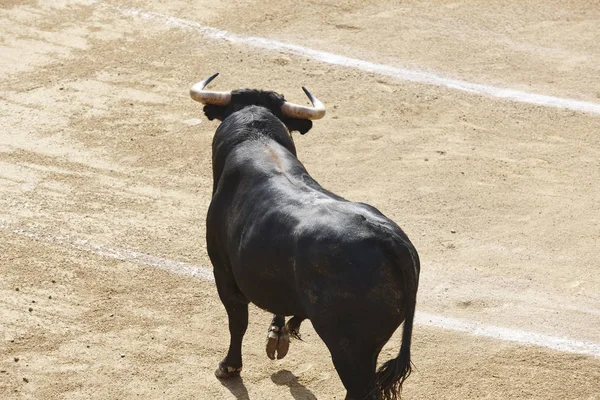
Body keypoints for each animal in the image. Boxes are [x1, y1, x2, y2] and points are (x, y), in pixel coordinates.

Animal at [199, 88, 420, 400]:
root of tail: (390, 240)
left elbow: (237, 321)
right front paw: (278, 333)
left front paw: (228, 366)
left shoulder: (223, 271)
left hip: (349, 348)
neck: (256, 138)